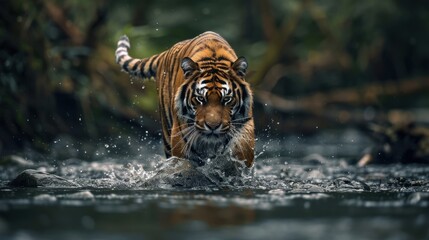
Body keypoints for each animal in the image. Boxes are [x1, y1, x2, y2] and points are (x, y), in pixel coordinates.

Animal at [114, 31, 254, 168]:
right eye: (200, 98)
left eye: (227, 99)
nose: (212, 126)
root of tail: (165, 53)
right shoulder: (180, 136)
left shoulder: (245, 124)